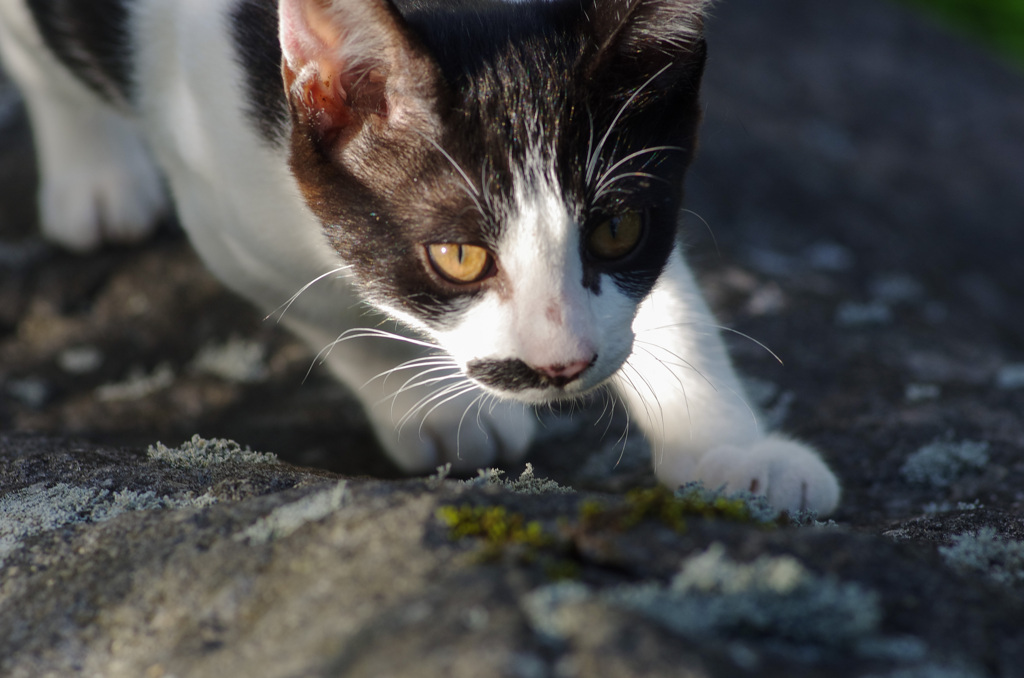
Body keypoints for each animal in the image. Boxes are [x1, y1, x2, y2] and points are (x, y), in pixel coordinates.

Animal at [0, 0, 839, 512]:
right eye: (459, 257)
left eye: (617, 230)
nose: (562, 366)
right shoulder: (226, 205)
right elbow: (326, 301)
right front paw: (440, 411)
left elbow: (664, 301)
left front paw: (733, 450)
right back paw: (96, 174)